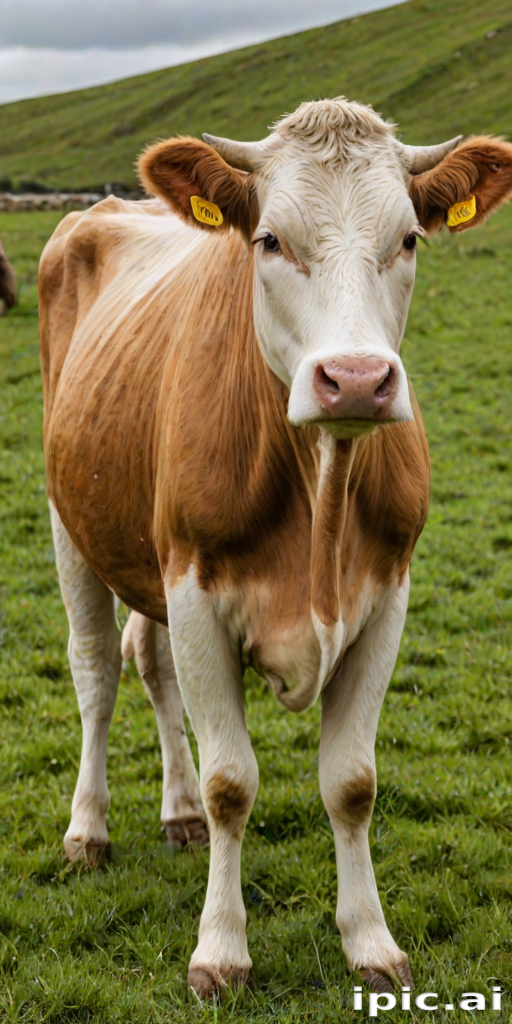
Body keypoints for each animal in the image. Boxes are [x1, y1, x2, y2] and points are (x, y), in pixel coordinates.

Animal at [39, 97, 512, 998]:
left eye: (408, 239)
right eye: (268, 240)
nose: (357, 379)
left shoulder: (387, 597)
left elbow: (352, 783)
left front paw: (370, 940)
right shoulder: (195, 588)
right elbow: (233, 782)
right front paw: (220, 952)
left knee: (149, 662)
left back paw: (178, 813)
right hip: (70, 523)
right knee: (97, 671)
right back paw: (88, 830)